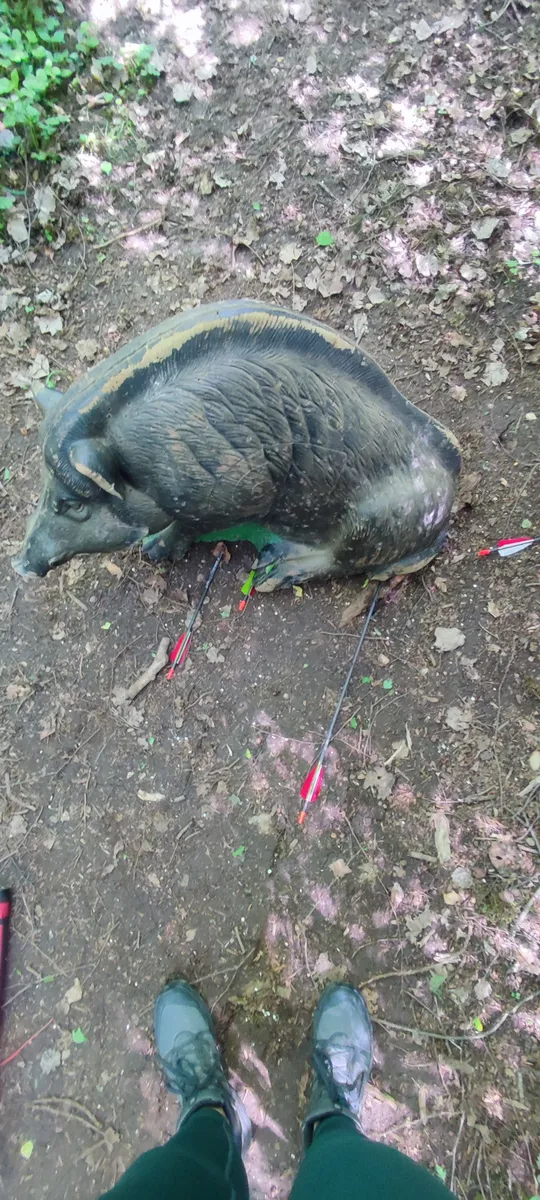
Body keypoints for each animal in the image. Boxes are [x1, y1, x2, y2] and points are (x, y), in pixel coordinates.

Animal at [12, 299, 461, 589]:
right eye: (43, 487)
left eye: (73, 505)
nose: (18, 564)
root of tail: (448, 500)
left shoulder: (236, 491)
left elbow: (189, 525)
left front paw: (153, 551)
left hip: (380, 518)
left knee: (345, 561)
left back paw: (272, 572)